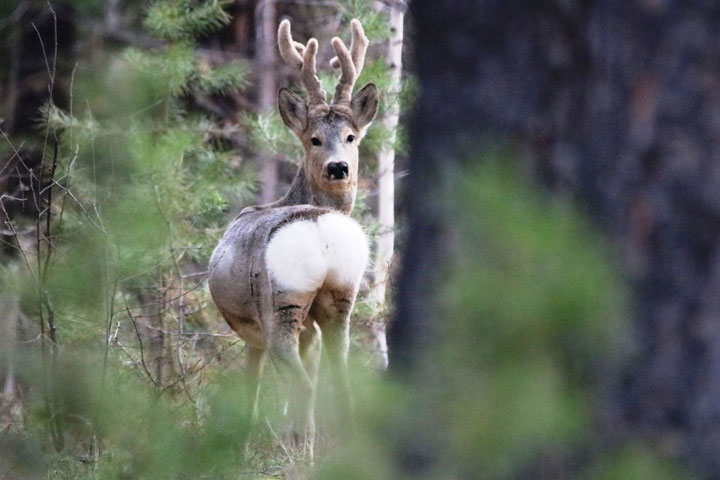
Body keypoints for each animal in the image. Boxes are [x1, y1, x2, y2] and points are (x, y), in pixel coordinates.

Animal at [207, 18, 380, 460]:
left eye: (351, 136)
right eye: (314, 138)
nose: (338, 167)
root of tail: (319, 229)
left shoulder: (254, 329)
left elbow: (251, 385)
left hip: (279, 304)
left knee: (302, 384)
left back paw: (300, 455)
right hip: (341, 299)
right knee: (341, 380)